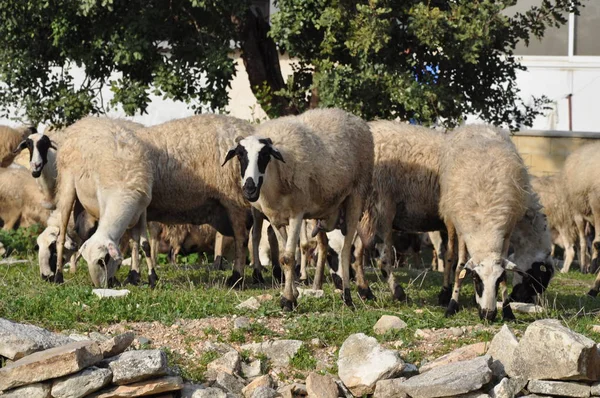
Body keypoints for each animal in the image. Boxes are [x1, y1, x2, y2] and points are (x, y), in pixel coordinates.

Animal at [223, 107, 372, 310]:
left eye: (265, 155)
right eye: (240, 155)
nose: (249, 189)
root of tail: (348, 115)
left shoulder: (297, 214)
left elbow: (288, 257)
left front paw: (287, 300)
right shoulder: (276, 218)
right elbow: (285, 257)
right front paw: (293, 294)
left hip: (357, 195)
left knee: (346, 249)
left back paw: (348, 296)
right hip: (325, 209)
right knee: (325, 245)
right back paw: (319, 286)